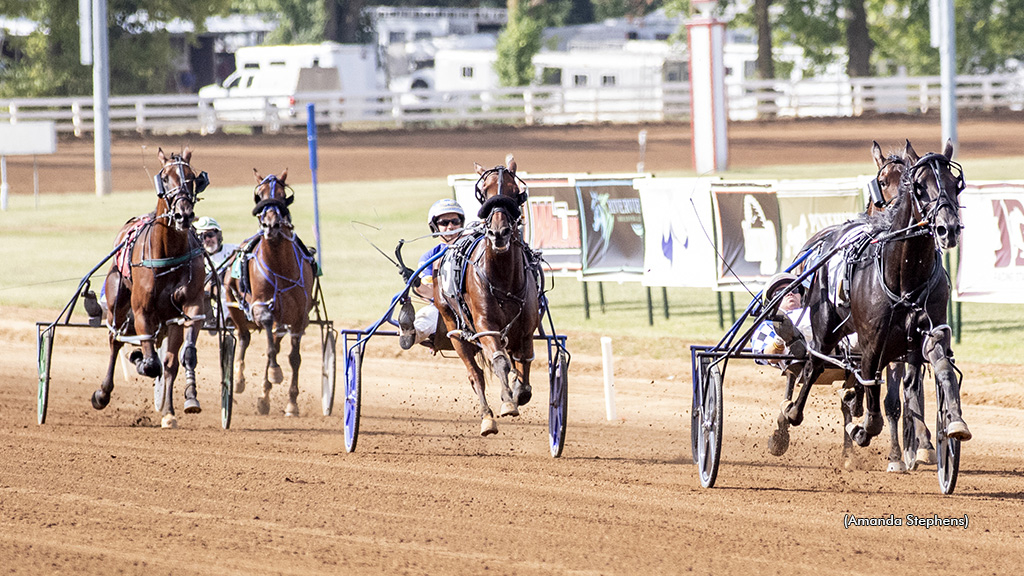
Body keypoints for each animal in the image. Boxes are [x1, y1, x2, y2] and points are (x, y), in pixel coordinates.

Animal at [92, 147, 209, 426]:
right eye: (165, 178)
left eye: (191, 178)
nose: (184, 214)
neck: (168, 251)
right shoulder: (142, 310)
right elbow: (151, 363)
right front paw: (141, 361)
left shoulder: (189, 308)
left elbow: (181, 358)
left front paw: (183, 403)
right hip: (117, 302)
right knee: (114, 340)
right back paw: (103, 393)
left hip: (168, 319)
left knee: (168, 360)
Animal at [226, 168, 313, 414]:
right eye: (260, 195)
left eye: (283, 195)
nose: (271, 226)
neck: (280, 266)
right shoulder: (260, 306)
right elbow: (268, 339)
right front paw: (275, 372)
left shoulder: (300, 318)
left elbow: (294, 358)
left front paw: (292, 402)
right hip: (232, 302)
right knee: (244, 337)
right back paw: (239, 380)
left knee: (273, 341)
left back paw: (264, 396)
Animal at [434, 154, 540, 432]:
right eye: (483, 192)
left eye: (515, 191)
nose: (499, 232)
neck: (502, 277)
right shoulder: (486, 326)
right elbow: (500, 361)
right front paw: (507, 402)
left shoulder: (525, 332)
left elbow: (524, 372)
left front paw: (516, 392)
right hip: (455, 330)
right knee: (475, 375)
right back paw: (487, 417)